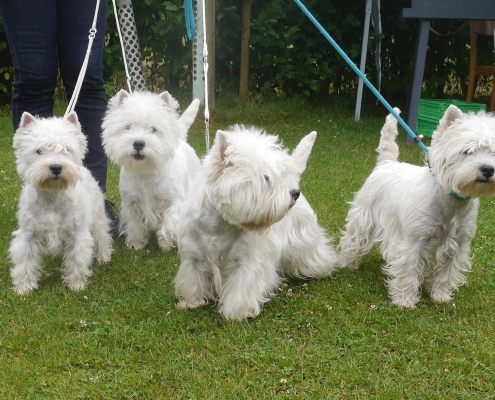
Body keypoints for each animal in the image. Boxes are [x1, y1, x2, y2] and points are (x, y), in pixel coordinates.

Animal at [10, 111, 113, 294]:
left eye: (67, 149)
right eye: (39, 150)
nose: (56, 167)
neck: (52, 196)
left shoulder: (77, 234)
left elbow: (77, 258)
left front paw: (76, 284)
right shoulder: (28, 234)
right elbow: (26, 260)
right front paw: (25, 286)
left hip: (98, 217)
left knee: (102, 236)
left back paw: (103, 257)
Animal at [102, 91, 202, 253]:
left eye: (154, 129)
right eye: (128, 127)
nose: (138, 144)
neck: (145, 171)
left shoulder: (172, 201)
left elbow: (169, 223)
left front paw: (165, 245)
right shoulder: (131, 202)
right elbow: (134, 224)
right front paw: (136, 243)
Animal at [172, 126, 340, 320]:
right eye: (266, 177)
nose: (294, 193)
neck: (217, 227)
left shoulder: (245, 262)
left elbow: (241, 289)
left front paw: (235, 313)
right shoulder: (192, 259)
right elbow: (194, 282)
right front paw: (192, 303)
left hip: (305, 239)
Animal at [340, 105, 495, 306]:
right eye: (467, 151)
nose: (488, 169)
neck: (451, 202)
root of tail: (386, 162)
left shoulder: (458, 244)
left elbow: (446, 273)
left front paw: (440, 296)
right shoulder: (413, 242)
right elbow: (409, 270)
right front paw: (405, 301)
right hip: (363, 217)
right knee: (353, 240)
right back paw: (348, 263)